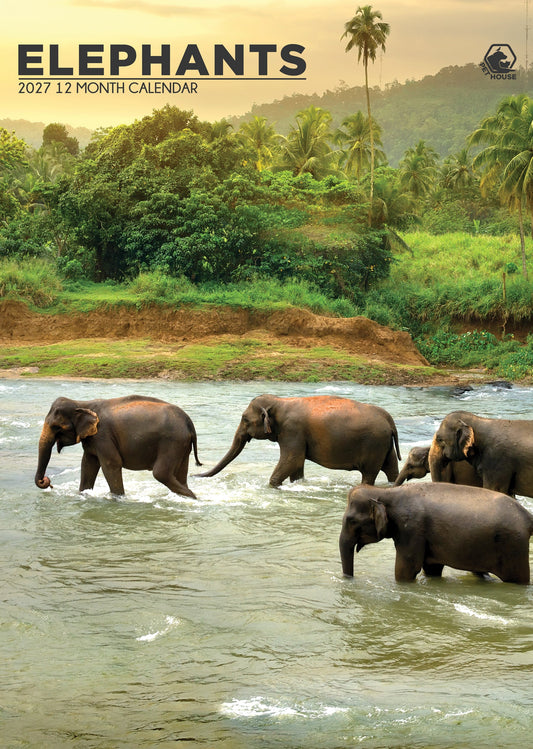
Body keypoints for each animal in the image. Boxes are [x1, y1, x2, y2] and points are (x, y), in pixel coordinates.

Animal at [35, 395, 201, 498]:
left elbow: (111, 464)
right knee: (180, 474)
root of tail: (189, 422)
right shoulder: (92, 440)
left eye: (56, 427)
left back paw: (192, 497)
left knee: (161, 473)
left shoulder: (103, 435)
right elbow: (87, 464)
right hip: (182, 445)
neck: (82, 404)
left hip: (172, 442)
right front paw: (83, 494)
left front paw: (118, 498)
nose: (46, 481)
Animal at [198, 394, 401, 487]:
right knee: (391, 468)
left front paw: (272, 486)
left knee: (369, 473)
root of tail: (389, 419)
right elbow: (296, 465)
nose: (195, 474)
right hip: (385, 445)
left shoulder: (292, 431)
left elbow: (292, 460)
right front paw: (297, 484)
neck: (279, 402)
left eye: (245, 420)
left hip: (374, 444)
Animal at [339, 483, 533, 583]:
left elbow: (406, 569)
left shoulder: (412, 529)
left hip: (513, 547)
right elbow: (431, 568)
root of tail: (528, 516)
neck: (385, 491)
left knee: (517, 578)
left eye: (352, 521)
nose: (349, 579)